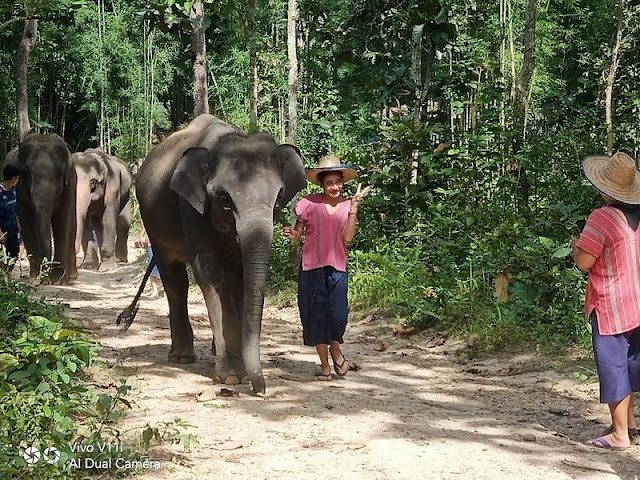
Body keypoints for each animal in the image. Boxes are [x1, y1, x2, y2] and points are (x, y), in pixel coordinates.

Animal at [14, 132, 77, 284]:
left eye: (60, 173)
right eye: (27, 172)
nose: (45, 279)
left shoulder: (70, 182)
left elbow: (62, 221)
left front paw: (59, 280)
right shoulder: (20, 188)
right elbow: (27, 223)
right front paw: (35, 280)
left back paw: (71, 277)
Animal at [123, 113, 310, 394]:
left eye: (277, 200)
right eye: (224, 199)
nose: (261, 389)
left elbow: (241, 276)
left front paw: (238, 372)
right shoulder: (191, 207)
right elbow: (210, 271)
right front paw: (232, 378)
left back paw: (212, 350)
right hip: (153, 224)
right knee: (175, 280)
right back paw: (182, 357)